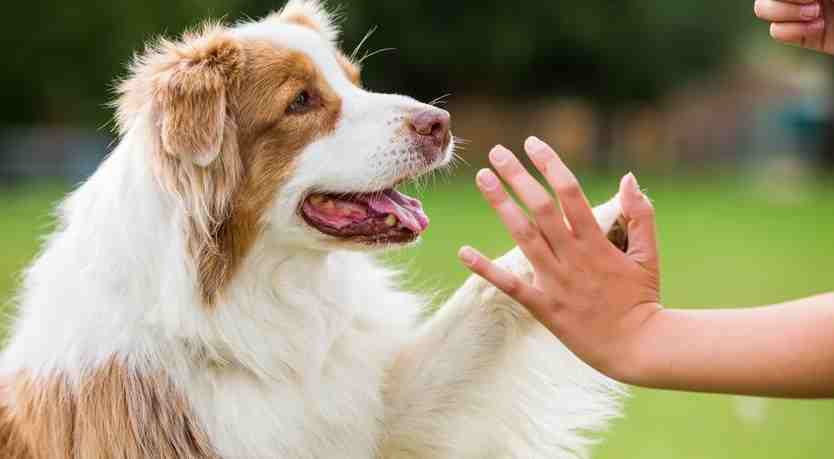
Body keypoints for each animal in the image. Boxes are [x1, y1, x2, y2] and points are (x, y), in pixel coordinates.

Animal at [0, 1, 624, 458]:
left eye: (355, 80)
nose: (440, 123)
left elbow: (479, 303)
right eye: (300, 101)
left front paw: (591, 231)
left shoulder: (378, 416)